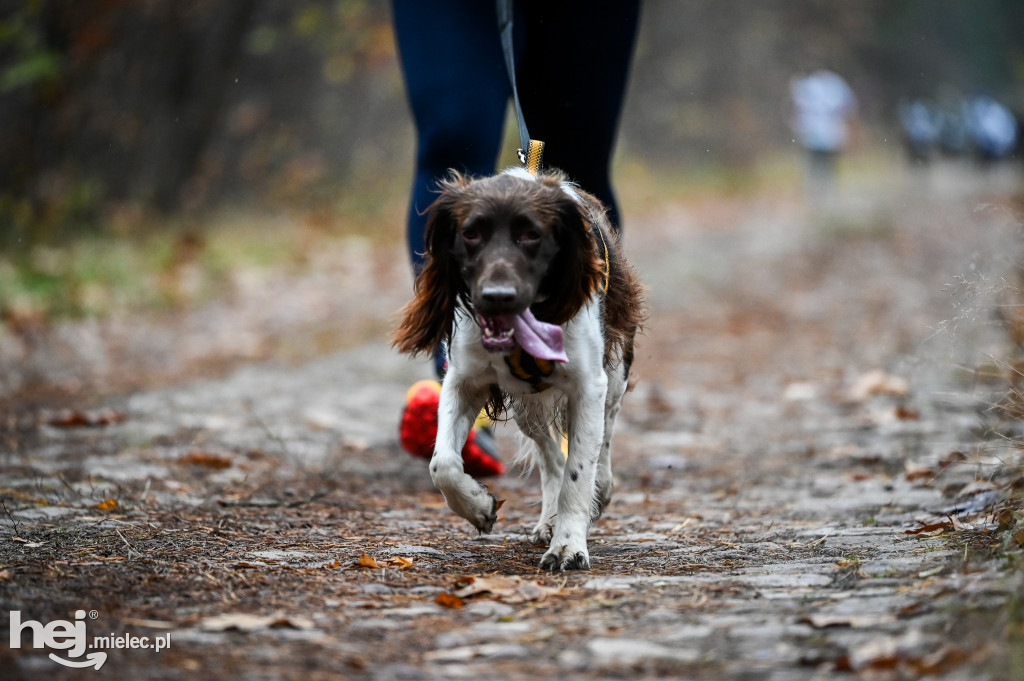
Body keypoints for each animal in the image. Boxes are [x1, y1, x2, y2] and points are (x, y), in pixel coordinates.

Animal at [395, 165, 643, 569]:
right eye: (471, 233)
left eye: (531, 234)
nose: (497, 297)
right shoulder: (463, 381)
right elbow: (442, 463)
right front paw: (479, 506)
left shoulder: (588, 385)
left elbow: (579, 472)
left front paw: (568, 546)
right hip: (528, 408)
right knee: (552, 458)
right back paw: (549, 518)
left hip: (614, 375)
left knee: (602, 438)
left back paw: (598, 492)